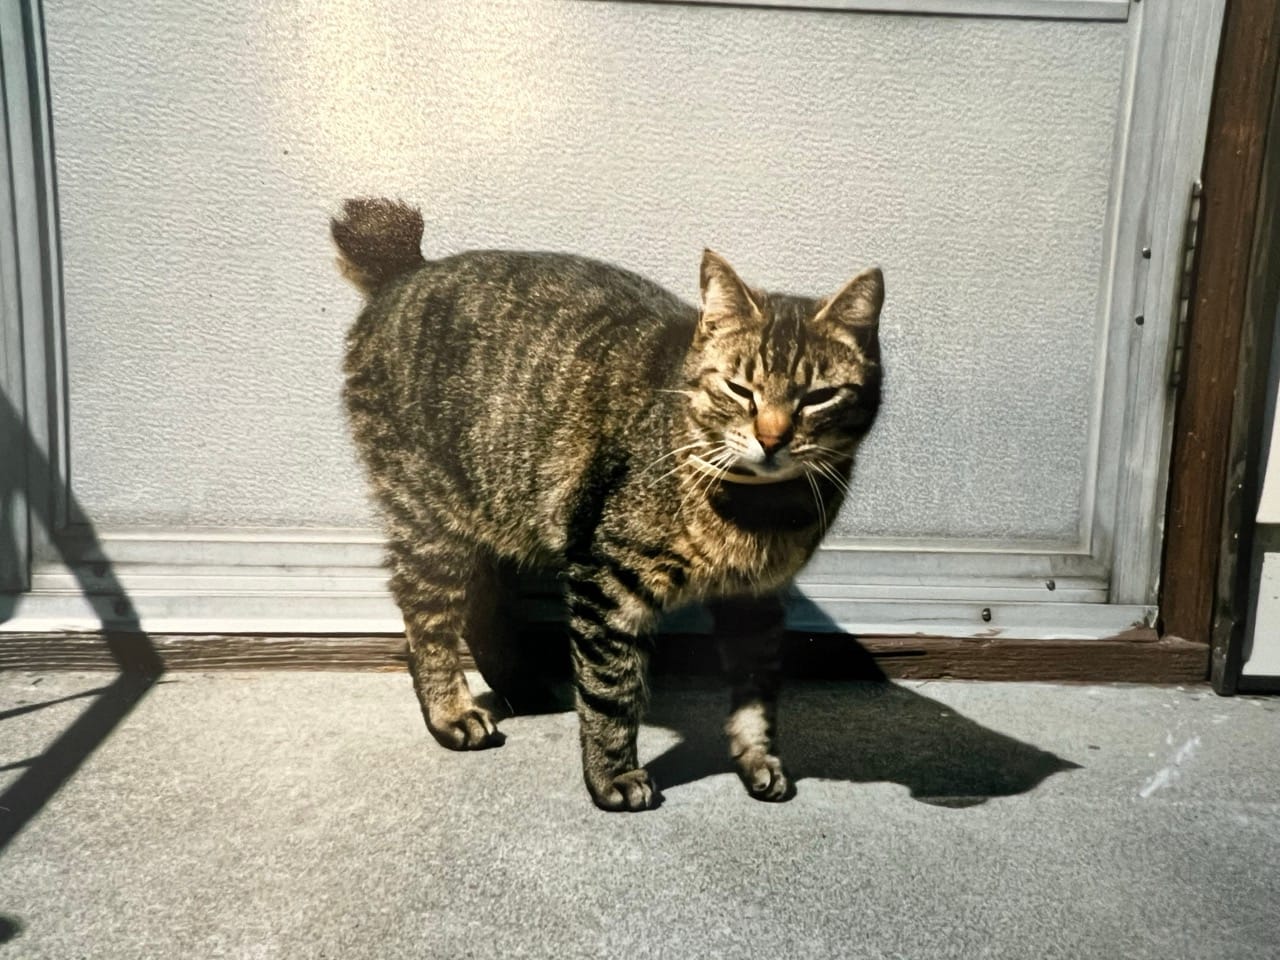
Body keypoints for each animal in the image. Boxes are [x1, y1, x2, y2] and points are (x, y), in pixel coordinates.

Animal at [335, 200, 885, 814]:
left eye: (818, 398)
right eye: (740, 390)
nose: (772, 438)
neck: (760, 513)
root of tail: (407, 270)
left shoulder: (757, 602)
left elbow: (757, 696)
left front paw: (758, 760)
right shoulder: (605, 581)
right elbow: (611, 691)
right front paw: (612, 776)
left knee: (481, 606)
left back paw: (522, 688)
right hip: (430, 517)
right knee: (425, 616)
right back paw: (450, 711)